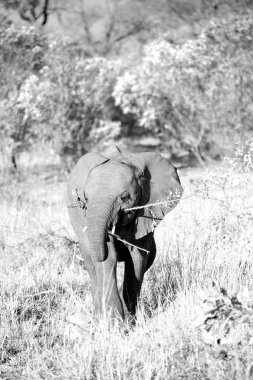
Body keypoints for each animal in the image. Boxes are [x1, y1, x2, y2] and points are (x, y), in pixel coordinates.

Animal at [66, 145, 182, 320]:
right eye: (84, 198)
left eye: (125, 197)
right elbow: (108, 259)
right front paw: (115, 322)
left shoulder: (144, 213)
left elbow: (137, 258)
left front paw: (129, 319)